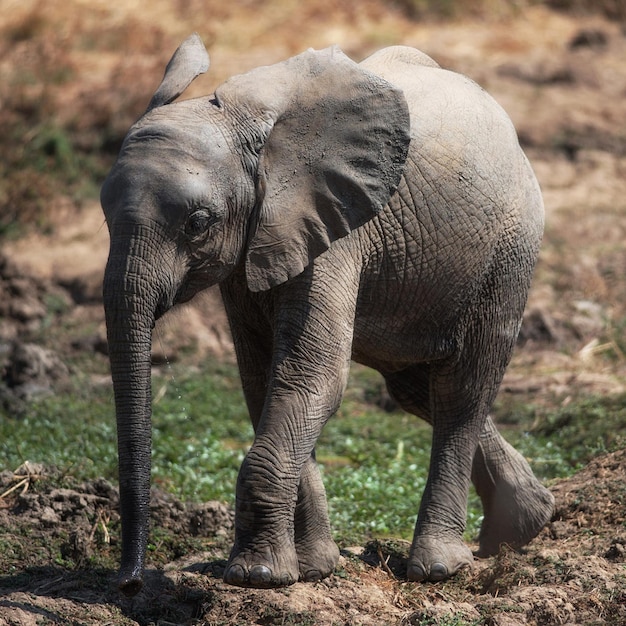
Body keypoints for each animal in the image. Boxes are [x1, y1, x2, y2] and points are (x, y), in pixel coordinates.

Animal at [101, 35, 552, 596]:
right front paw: (312, 570)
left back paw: (441, 567)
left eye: (198, 223)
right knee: (414, 387)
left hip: (510, 246)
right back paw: (526, 525)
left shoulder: (331, 227)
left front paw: (256, 577)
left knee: (461, 388)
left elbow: (310, 376)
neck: (249, 128)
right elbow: (263, 380)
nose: (128, 583)